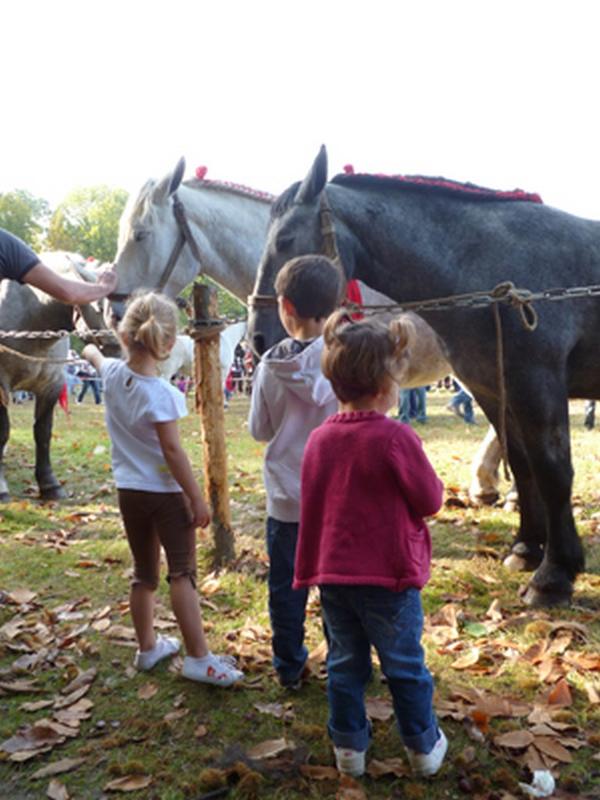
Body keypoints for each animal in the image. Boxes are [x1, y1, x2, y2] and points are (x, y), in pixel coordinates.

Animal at [248, 146, 600, 607]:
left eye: (286, 239)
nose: (257, 336)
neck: (489, 263)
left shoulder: (536, 385)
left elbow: (552, 470)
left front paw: (554, 575)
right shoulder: (495, 389)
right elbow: (523, 465)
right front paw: (527, 547)